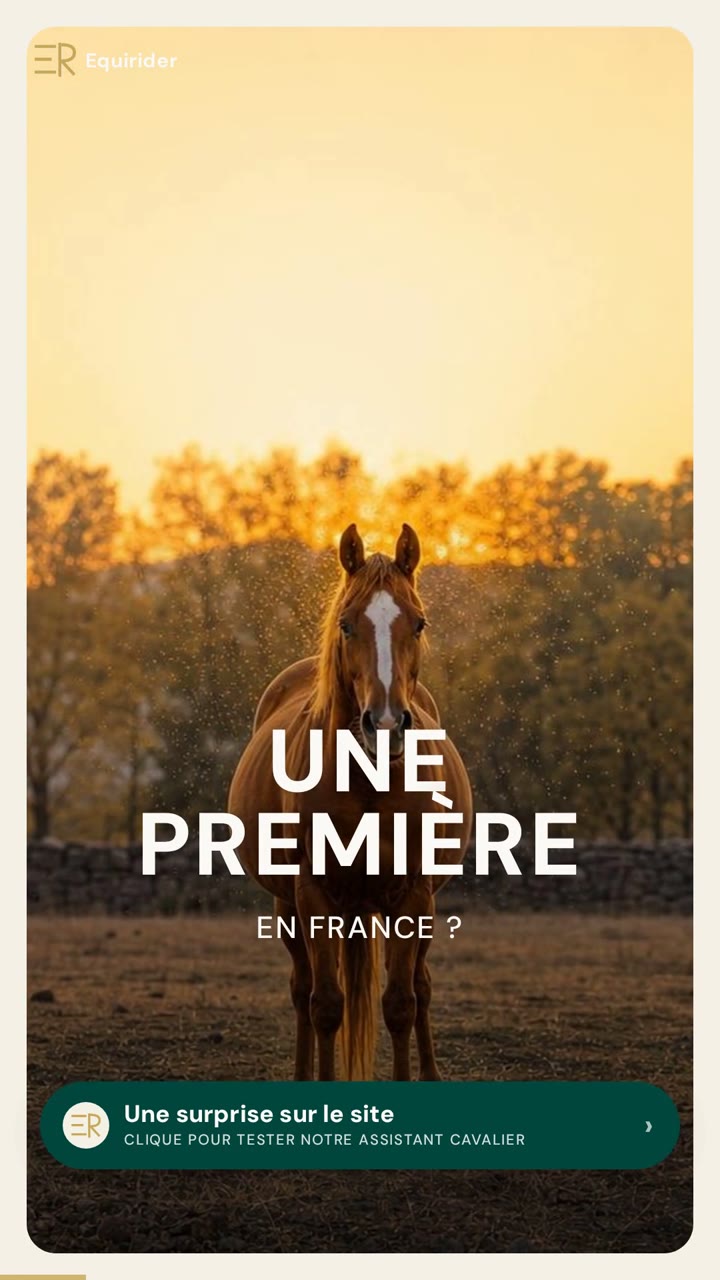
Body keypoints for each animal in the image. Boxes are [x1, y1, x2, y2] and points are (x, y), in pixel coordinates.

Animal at [227, 523, 473, 1081]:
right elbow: (326, 1006)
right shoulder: (314, 897)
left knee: (422, 989)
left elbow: (401, 1004)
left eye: (419, 623)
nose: (385, 724)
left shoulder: (413, 896)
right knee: (302, 993)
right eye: (346, 625)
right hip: (290, 908)